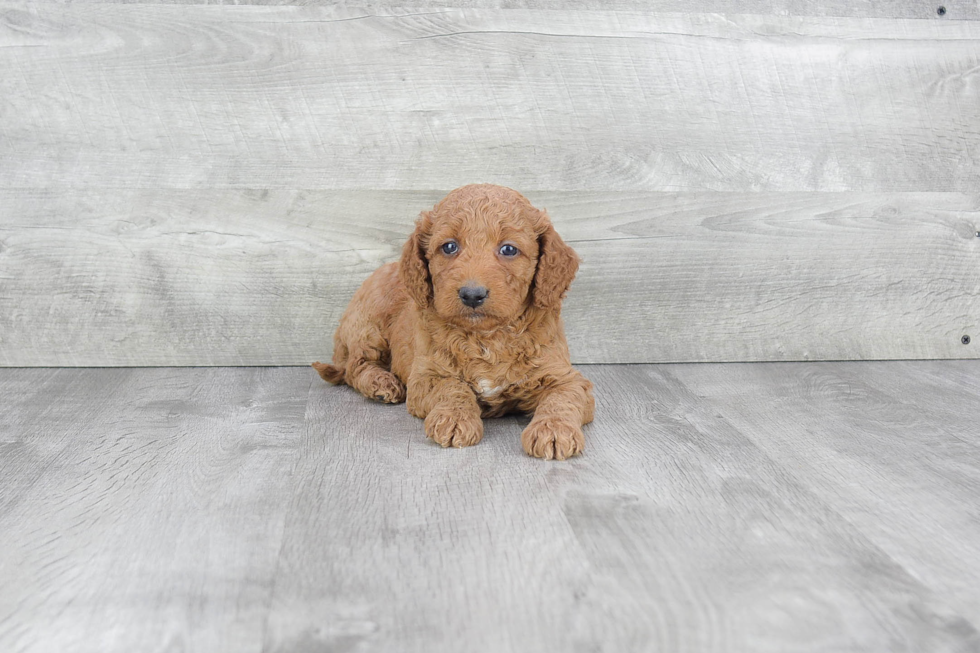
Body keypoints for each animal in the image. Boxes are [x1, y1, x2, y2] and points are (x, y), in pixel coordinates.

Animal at [314, 182, 592, 458]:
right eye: (449, 247)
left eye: (509, 249)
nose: (472, 294)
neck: (487, 338)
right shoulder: (426, 376)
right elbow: (452, 388)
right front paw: (454, 419)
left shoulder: (564, 376)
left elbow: (561, 398)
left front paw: (553, 430)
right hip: (368, 325)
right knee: (355, 366)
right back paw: (381, 383)